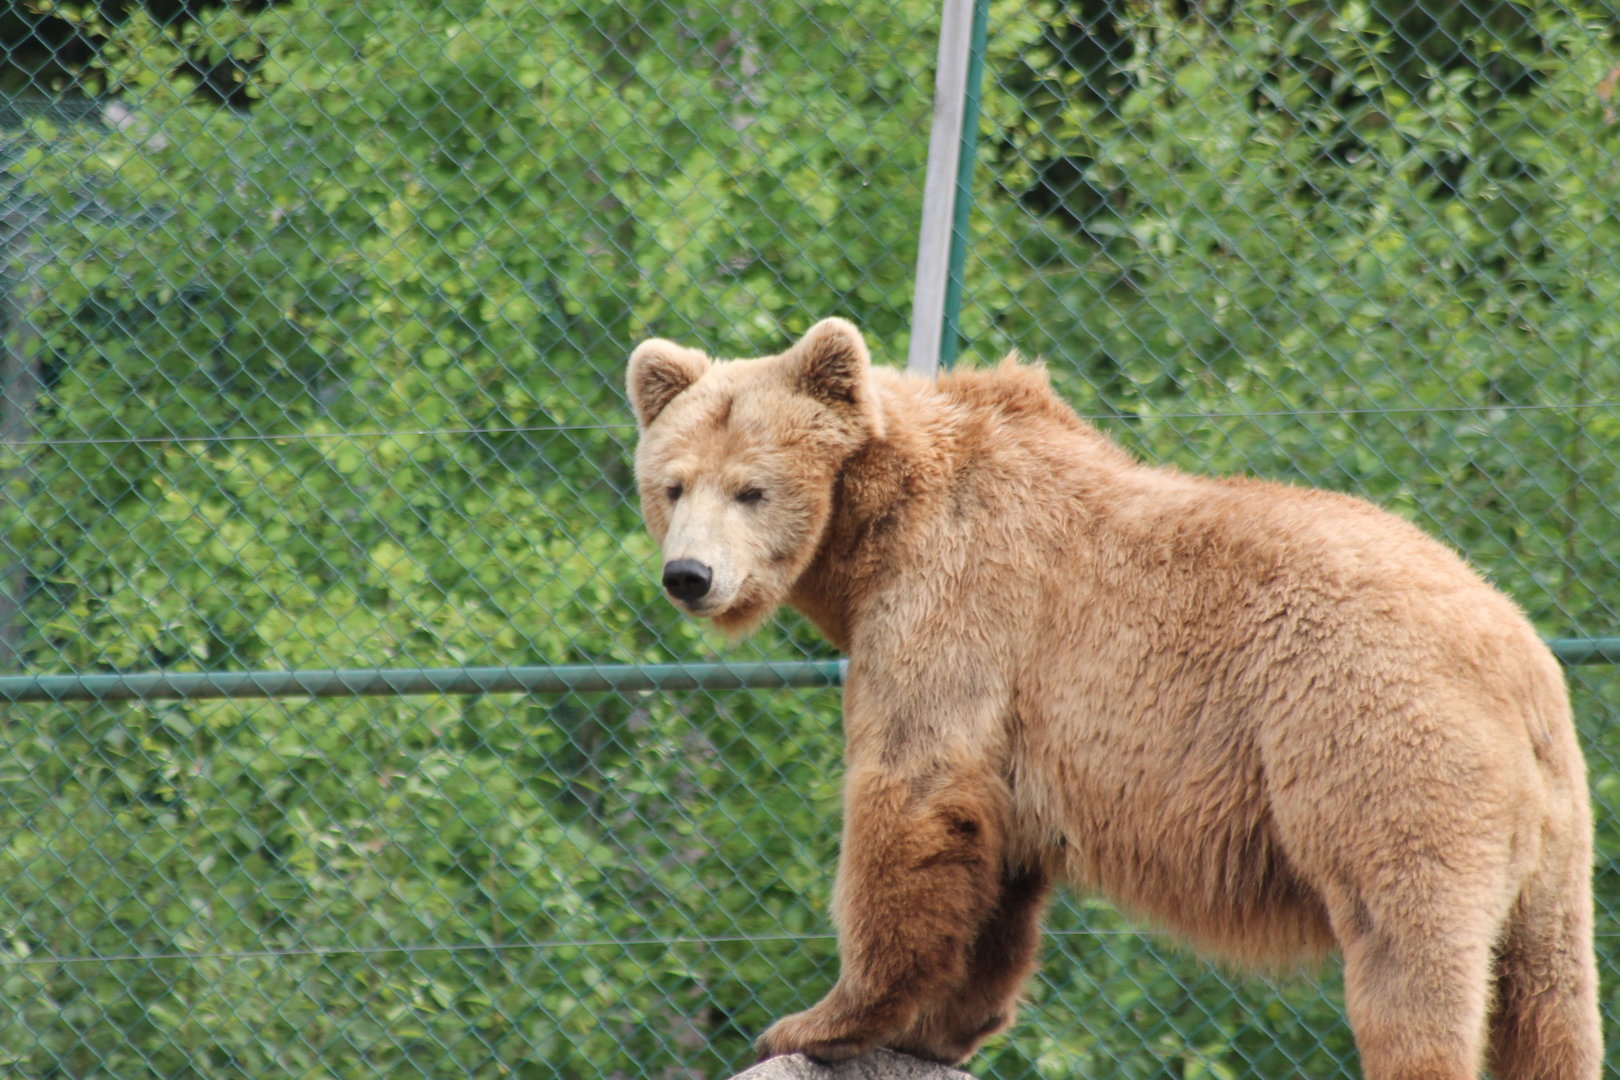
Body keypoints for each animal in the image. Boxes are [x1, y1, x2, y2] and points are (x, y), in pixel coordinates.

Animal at [625, 318, 1600, 1080]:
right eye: (671, 483)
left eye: (752, 488)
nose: (689, 575)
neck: (875, 535)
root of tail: (1521, 661)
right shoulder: (1017, 720)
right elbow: (997, 869)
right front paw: (942, 1028)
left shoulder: (957, 613)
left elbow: (914, 795)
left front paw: (816, 1021)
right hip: (1554, 850)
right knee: (1550, 1002)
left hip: (1378, 746)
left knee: (1408, 953)